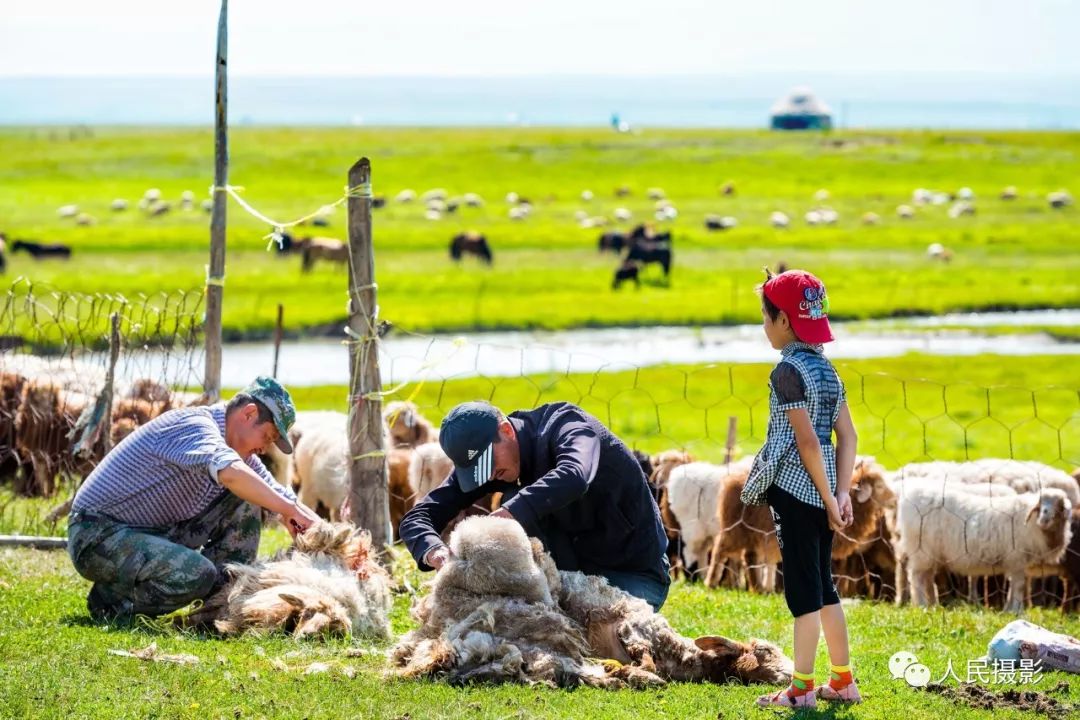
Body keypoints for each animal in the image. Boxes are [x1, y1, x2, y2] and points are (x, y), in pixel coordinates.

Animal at [894, 483, 1071, 613]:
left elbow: (1015, 586)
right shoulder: (1017, 559)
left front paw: (1008, 610)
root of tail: (910, 495)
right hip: (921, 550)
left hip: (931, 553)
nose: (1044, 519)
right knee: (917, 577)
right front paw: (1016, 611)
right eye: (1040, 504)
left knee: (928, 578)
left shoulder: (1017, 562)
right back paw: (923, 605)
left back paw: (932, 604)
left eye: (1059, 505)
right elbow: (1019, 586)